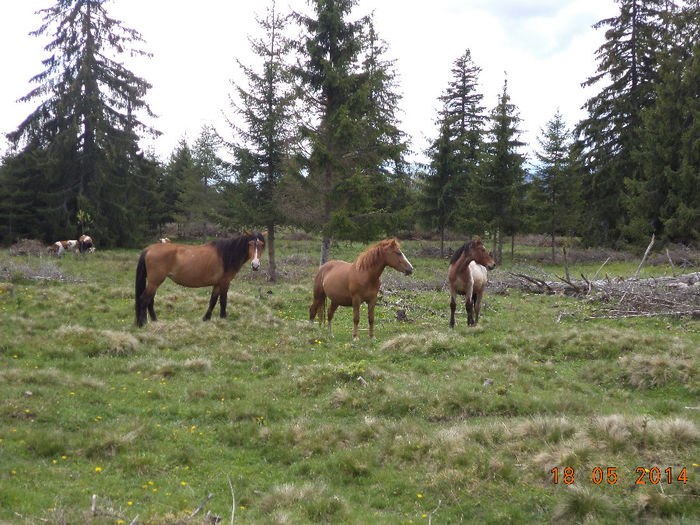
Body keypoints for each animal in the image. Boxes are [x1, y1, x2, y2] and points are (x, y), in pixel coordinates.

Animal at [135, 231, 266, 326]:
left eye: (261, 245)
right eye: (250, 244)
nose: (255, 265)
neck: (226, 255)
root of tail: (149, 249)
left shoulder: (217, 284)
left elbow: (213, 301)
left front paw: (206, 318)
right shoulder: (225, 283)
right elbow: (223, 301)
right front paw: (223, 318)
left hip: (154, 283)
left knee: (150, 300)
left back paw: (154, 321)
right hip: (155, 282)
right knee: (144, 299)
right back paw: (142, 323)